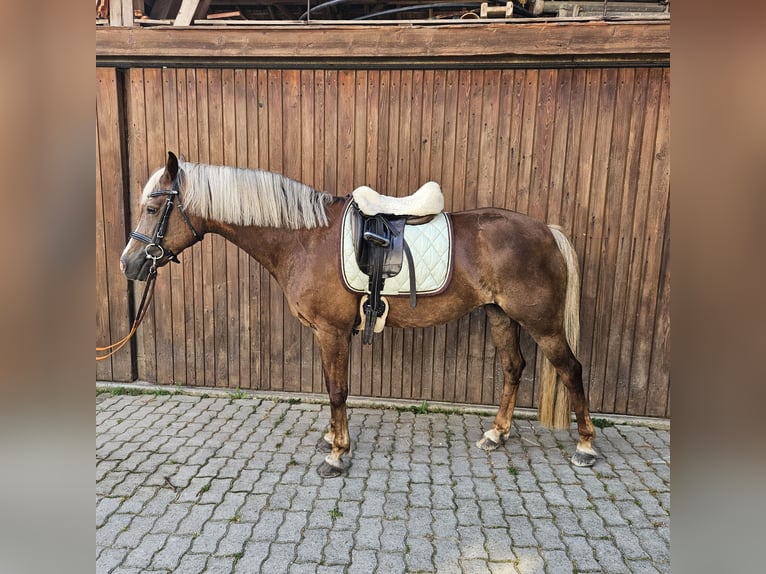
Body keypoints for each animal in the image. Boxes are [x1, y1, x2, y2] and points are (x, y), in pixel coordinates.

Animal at [120, 151, 600, 480]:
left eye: (152, 208)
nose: (129, 264)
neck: (305, 239)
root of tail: (545, 230)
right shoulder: (324, 334)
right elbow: (331, 388)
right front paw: (333, 438)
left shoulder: (331, 332)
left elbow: (338, 391)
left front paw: (337, 454)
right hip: (500, 315)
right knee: (513, 368)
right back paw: (497, 434)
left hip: (542, 323)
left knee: (572, 370)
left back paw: (586, 447)